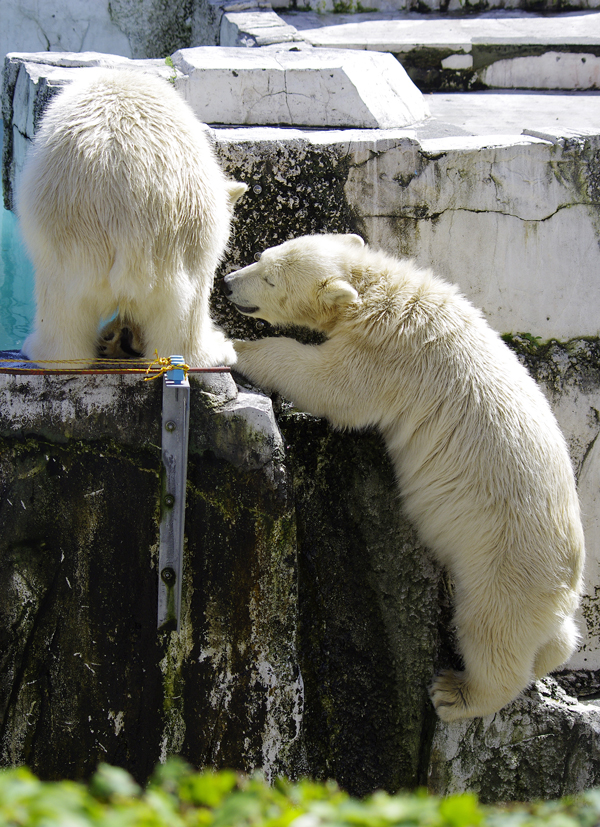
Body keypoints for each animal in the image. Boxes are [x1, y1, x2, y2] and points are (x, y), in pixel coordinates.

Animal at [223, 234, 584, 724]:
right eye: (262, 257)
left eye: (270, 278)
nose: (227, 282)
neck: (382, 293)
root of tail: (571, 577)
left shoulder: (386, 356)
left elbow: (330, 385)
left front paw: (232, 345)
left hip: (506, 564)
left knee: (492, 632)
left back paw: (457, 693)